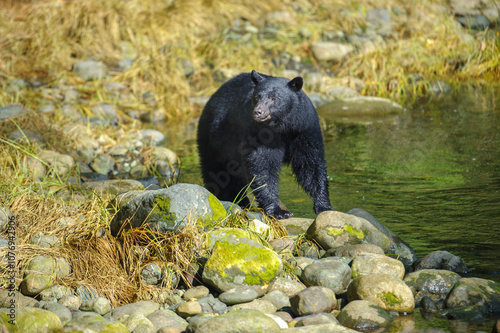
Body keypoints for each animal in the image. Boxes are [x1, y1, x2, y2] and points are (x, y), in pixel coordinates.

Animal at [196, 69, 332, 218]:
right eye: (257, 97)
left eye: (274, 98)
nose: (258, 112)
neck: (281, 127)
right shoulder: (257, 134)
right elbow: (263, 165)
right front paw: (279, 211)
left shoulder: (303, 129)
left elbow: (310, 164)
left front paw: (324, 205)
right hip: (214, 138)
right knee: (218, 171)